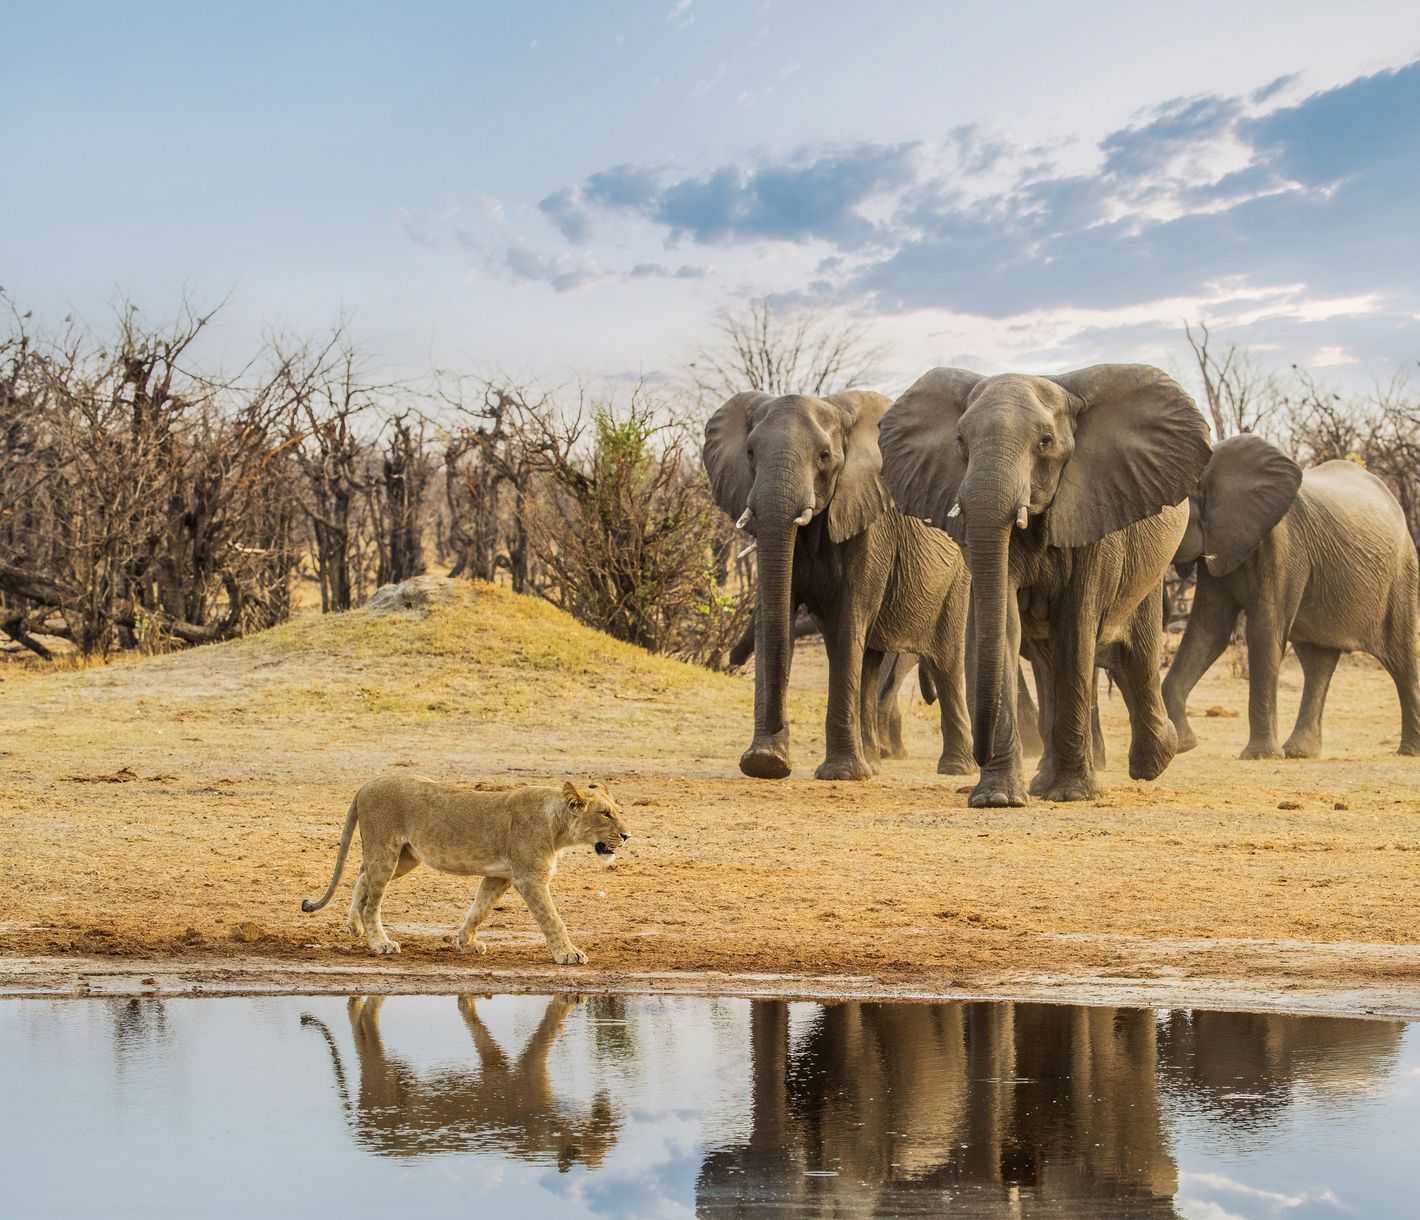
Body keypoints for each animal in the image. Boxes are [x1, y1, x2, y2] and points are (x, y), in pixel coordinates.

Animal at [300, 776, 631, 963]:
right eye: (605, 814)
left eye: (618, 812)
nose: (627, 836)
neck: (558, 826)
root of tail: (364, 787)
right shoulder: (529, 878)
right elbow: (552, 920)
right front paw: (568, 954)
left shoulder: (499, 875)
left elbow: (479, 910)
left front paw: (466, 943)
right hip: (386, 852)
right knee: (372, 901)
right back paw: (380, 943)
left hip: (405, 857)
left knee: (362, 875)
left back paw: (354, 927)